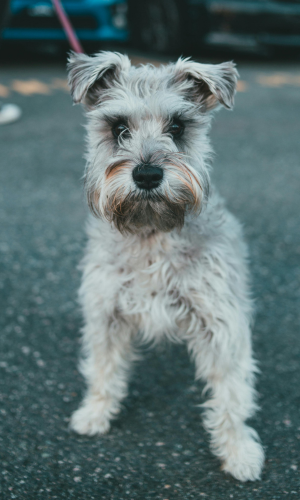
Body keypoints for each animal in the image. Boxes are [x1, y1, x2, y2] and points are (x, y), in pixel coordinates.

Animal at [67, 50, 264, 480]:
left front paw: (238, 450)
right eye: (118, 127)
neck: (152, 233)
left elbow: (231, 393)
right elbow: (103, 369)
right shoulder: (105, 313)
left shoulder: (221, 324)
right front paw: (95, 413)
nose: (147, 174)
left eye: (177, 126)